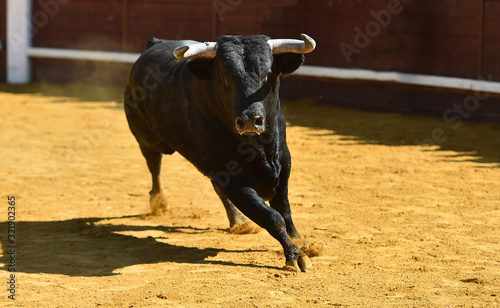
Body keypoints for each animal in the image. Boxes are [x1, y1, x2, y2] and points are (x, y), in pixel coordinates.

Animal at [126, 33, 316, 270]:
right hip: (146, 140)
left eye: (268, 75)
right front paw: (296, 255)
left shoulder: (283, 165)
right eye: (224, 78)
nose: (250, 120)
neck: (259, 148)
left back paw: (239, 222)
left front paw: (302, 242)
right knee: (155, 167)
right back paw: (159, 203)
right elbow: (272, 217)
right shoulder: (236, 183)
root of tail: (154, 43)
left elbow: (284, 208)